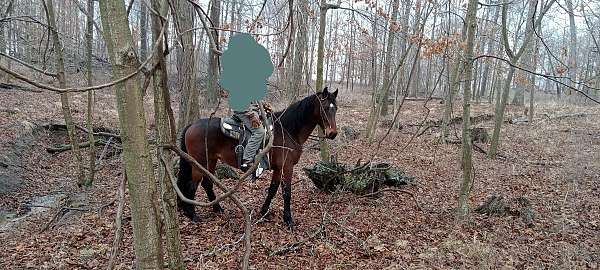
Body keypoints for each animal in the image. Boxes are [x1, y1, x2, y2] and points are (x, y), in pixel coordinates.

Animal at [177, 87, 338, 229]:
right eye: (324, 108)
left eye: (335, 108)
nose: (333, 133)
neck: (288, 130)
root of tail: (191, 125)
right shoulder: (287, 167)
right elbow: (287, 192)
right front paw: (288, 220)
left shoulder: (278, 168)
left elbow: (273, 189)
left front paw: (264, 211)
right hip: (199, 162)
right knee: (191, 186)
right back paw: (192, 214)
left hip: (210, 161)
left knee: (207, 183)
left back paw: (217, 209)